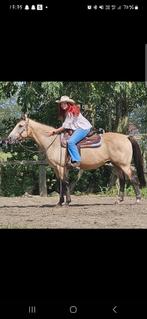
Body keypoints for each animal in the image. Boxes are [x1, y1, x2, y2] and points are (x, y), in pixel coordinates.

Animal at [8, 115, 146, 205]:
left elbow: (64, 183)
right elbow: (63, 183)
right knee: (122, 180)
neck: (53, 142)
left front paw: (66, 202)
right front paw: (61, 202)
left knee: (133, 178)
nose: (9, 139)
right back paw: (119, 200)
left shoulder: (60, 167)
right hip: (116, 164)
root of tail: (126, 137)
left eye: (20, 125)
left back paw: (138, 199)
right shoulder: (59, 168)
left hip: (124, 165)